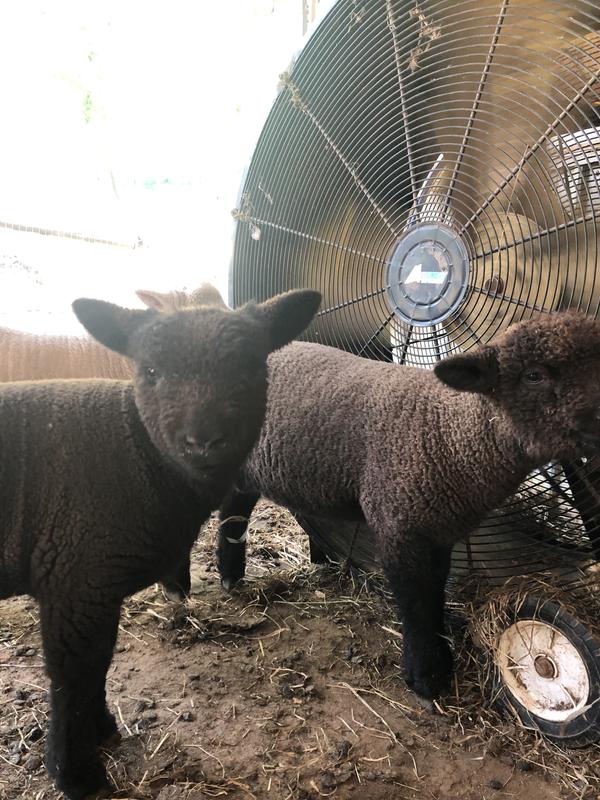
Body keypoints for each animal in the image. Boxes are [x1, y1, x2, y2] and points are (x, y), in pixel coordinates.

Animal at [0, 287, 321, 800]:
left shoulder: (91, 590)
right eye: (149, 371)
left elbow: (97, 667)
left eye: (252, 368)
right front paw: (77, 774)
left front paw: (102, 730)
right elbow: (74, 678)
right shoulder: (75, 581)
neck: (137, 452)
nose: (203, 441)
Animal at [164, 309, 600, 703]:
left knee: (233, 509)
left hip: (247, 467)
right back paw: (176, 587)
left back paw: (231, 576)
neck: (448, 430)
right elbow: (415, 601)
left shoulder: (436, 528)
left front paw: (440, 660)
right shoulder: (397, 521)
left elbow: (434, 592)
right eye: (534, 375)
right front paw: (426, 677)